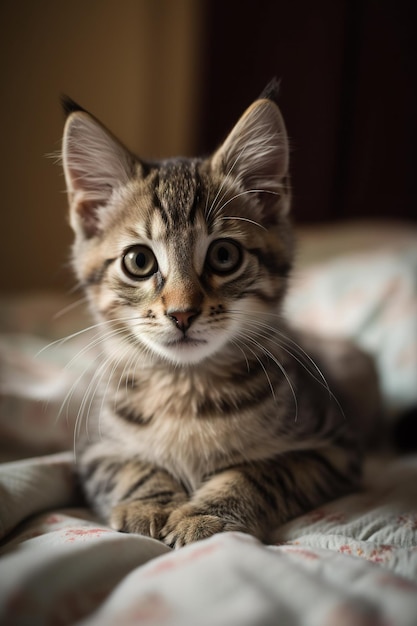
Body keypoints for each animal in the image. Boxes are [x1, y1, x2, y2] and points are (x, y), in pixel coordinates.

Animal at [61, 80, 374, 544]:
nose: (182, 314)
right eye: (139, 261)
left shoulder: (333, 448)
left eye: (224, 255)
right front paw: (149, 503)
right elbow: (130, 467)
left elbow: (261, 471)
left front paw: (207, 513)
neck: (185, 389)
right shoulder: (94, 449)